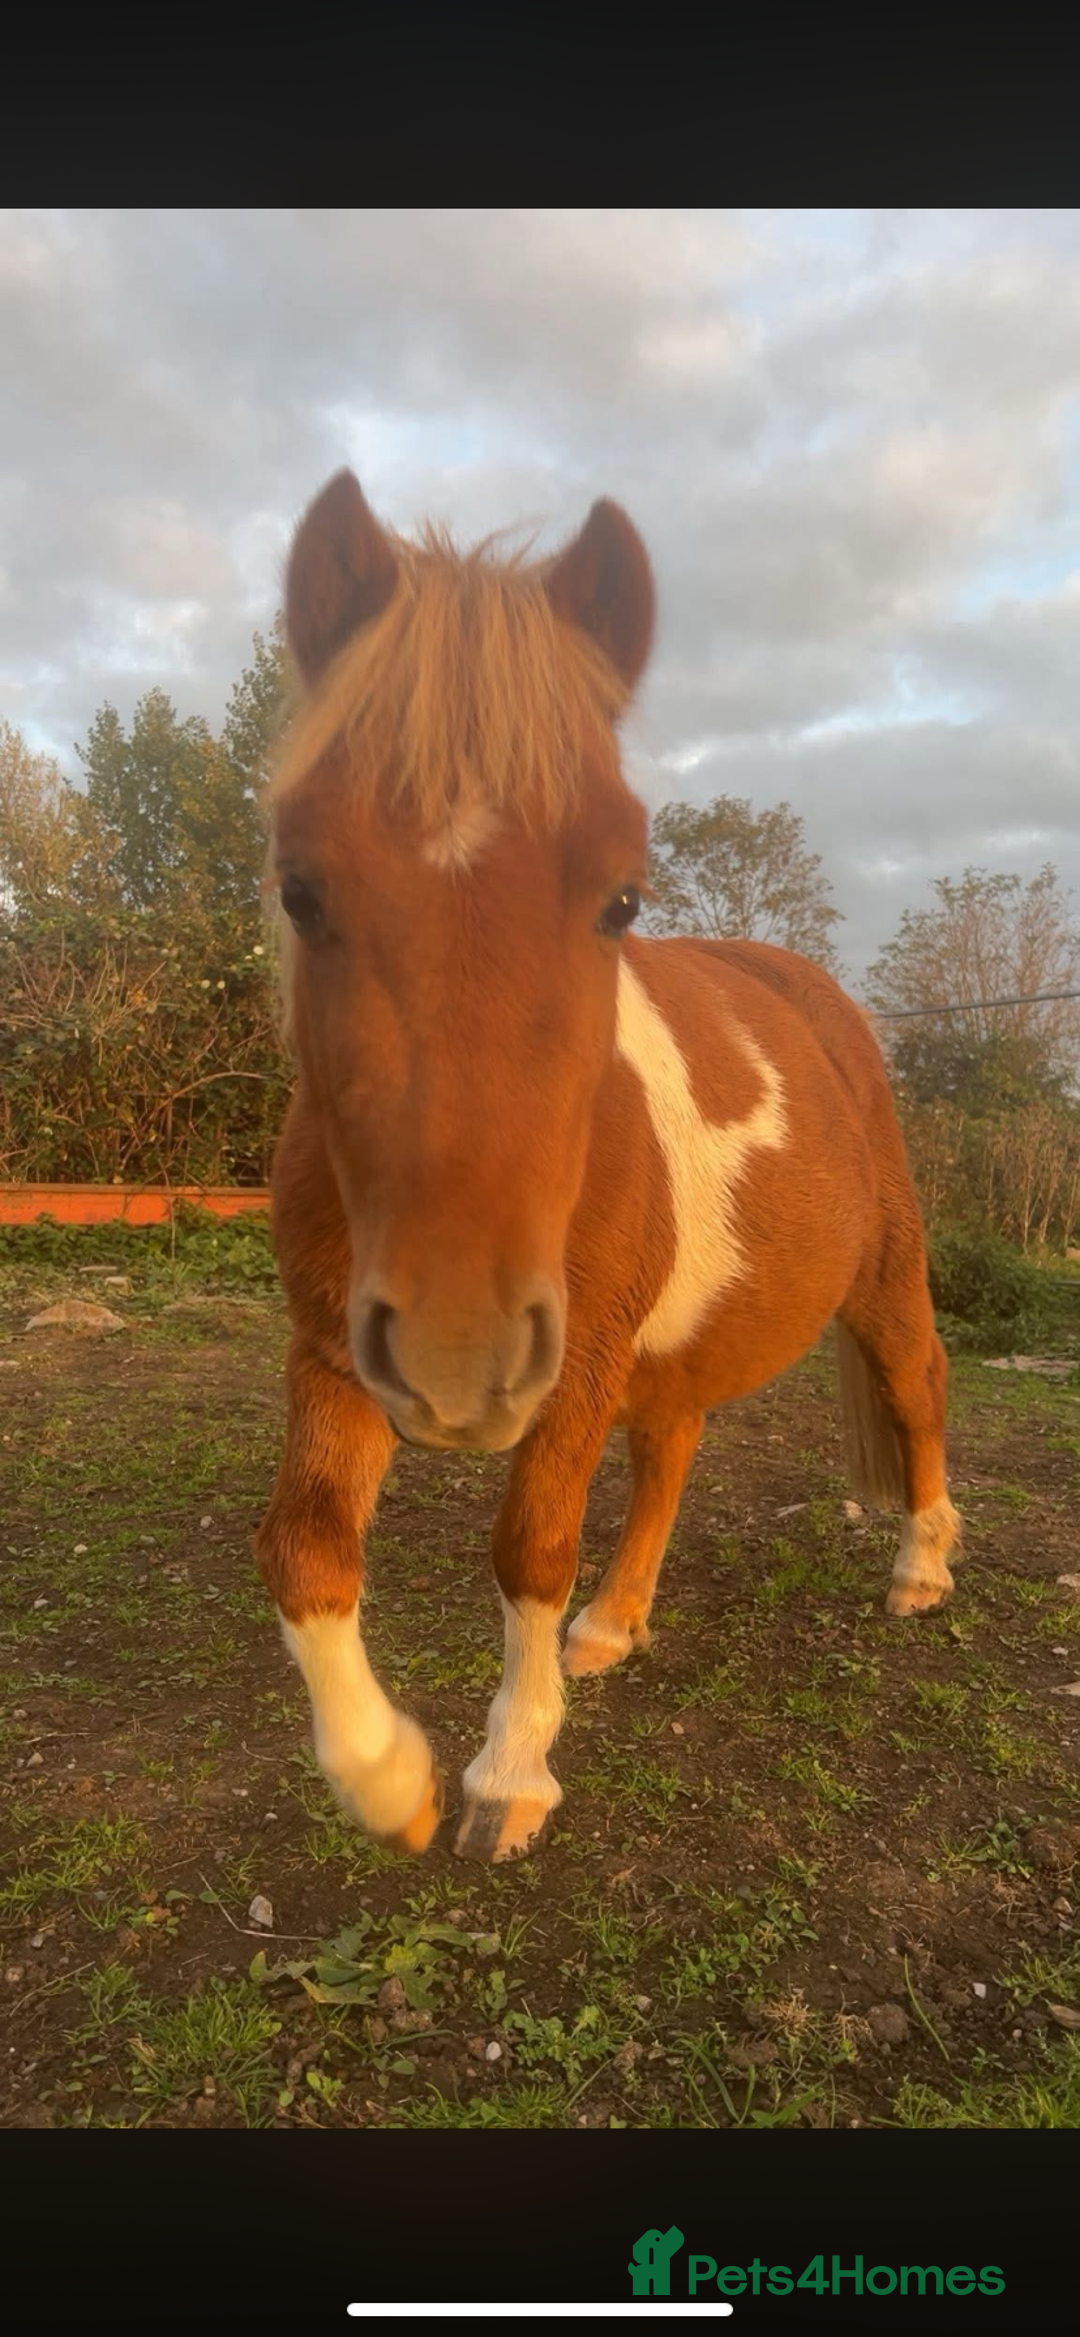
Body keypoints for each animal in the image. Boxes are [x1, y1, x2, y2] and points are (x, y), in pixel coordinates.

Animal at [254, 470, 961, 1865]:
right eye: (300, 889)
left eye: (621, 898)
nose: (460, 1353)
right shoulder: (337, 1351)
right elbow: (307, 1552)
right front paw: (390, 1779)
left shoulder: (571, 1358)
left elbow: (533, 1547)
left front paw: (509, 1777)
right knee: (672, 1448)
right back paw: (615, 1624)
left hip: (880, 1280)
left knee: (917, 1388)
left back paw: (922, 1567)